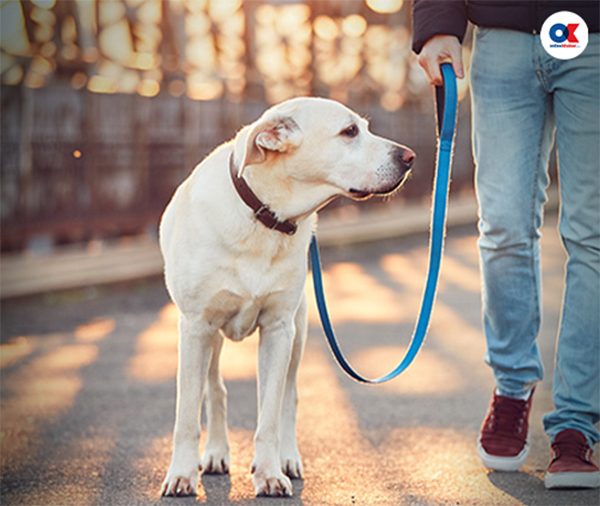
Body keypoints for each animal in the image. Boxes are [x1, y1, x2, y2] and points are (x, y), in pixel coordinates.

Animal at [157, 97, 414, 496]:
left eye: (365, 128)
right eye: (349, 132)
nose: (410, 157)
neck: (264, 216)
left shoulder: (279, 330)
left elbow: (270, 415)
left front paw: (269, 473)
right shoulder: (196, 328)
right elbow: (186, 414)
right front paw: (181, 474)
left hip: (298, 332)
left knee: (288, 398)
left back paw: (288, 458)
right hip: (211, 338)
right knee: (215, 390)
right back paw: (216, 452)